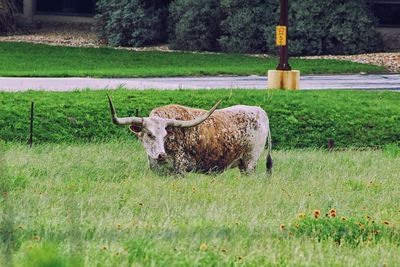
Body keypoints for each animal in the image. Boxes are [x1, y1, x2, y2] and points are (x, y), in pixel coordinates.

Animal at [107, 96, 272, 176]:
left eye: (165, 135)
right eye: (149, 133)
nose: (161, 155)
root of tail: (260, 110)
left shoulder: (179, 169)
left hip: (250, 161)